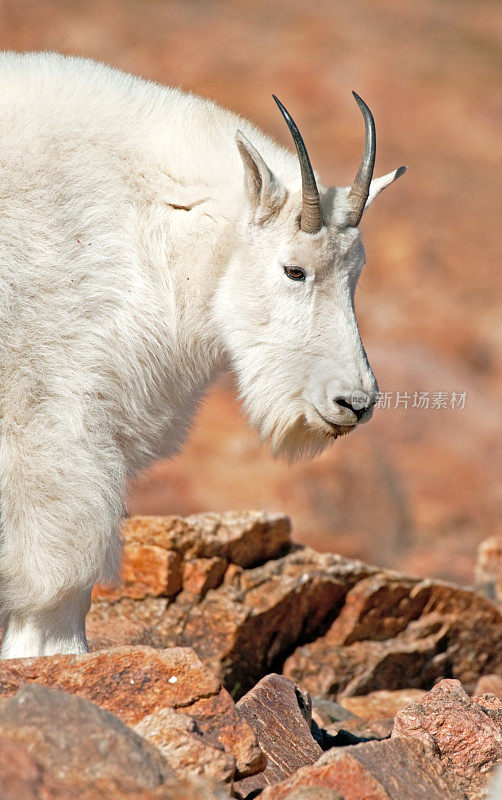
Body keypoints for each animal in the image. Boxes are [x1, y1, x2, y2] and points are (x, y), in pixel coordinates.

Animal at [0, 51, 404, 656]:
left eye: (356, 275)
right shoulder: (51, 414)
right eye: (294, 269)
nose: (354, 403)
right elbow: (59, 567)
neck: (149, 225)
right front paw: (53, 658)